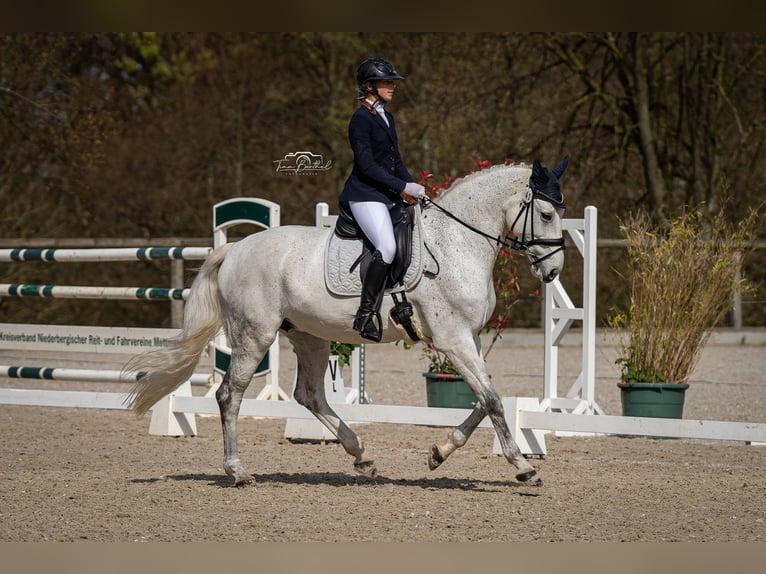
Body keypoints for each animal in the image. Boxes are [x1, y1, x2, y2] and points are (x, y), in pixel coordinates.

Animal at [126, 158, 568, 486]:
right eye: (546, 213)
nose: (553, 271)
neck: (456, 243)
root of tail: (235, 248)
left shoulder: (468, 339)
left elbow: (484, 397)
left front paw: (438, 453)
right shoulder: (453, 339)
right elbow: (491, 399)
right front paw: (524, 467)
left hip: (309, 336)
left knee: (309, 395)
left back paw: (362, 455)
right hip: (255, 335)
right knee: (228, 395)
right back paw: (237, 472)